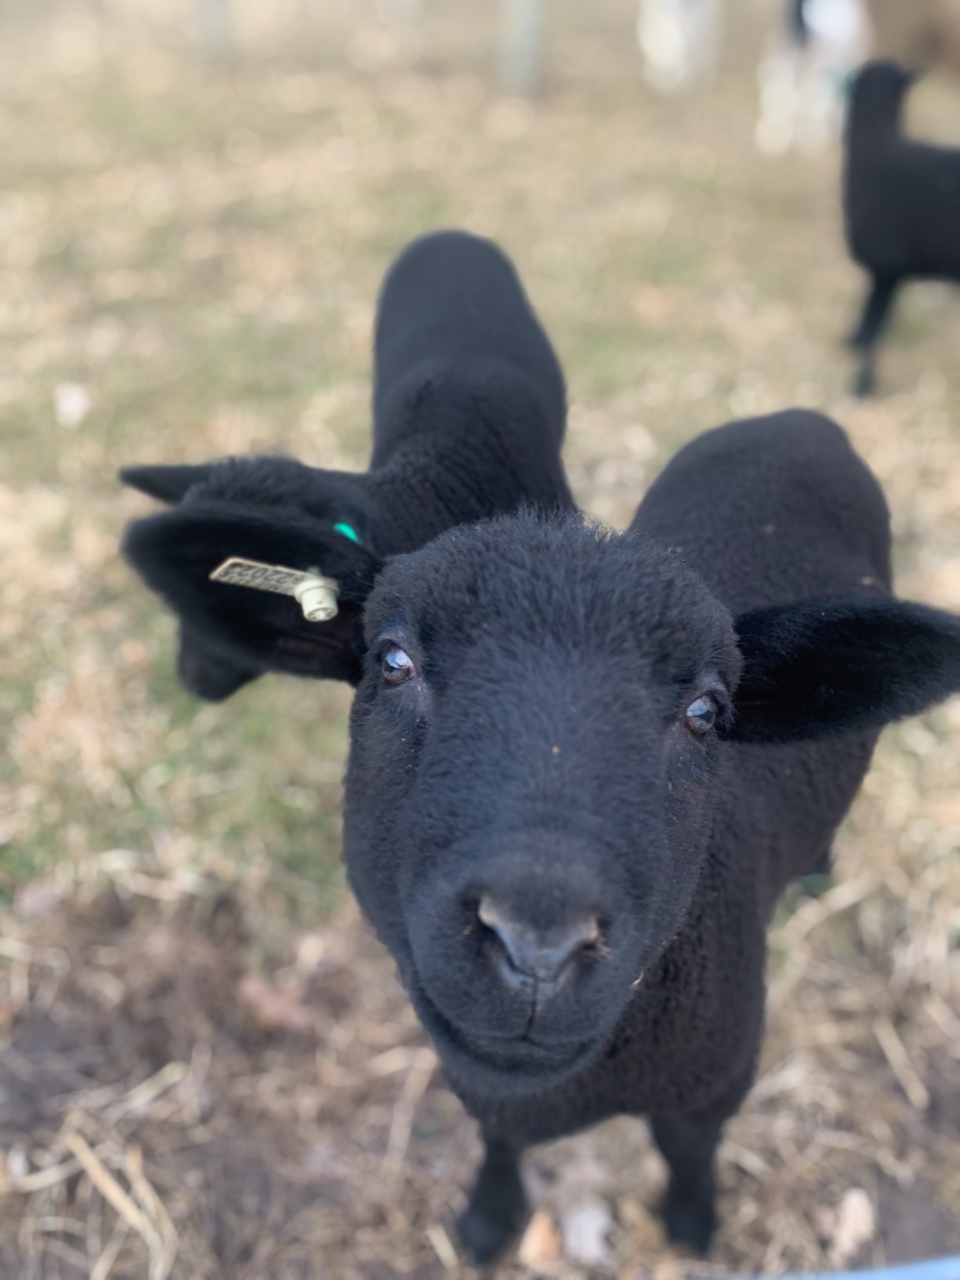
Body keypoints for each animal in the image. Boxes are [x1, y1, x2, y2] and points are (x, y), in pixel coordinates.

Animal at [122, 235, 960, 1264]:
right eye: (391, 662)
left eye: (708, 710)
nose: (536, 946)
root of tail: (801, 418)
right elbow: (497, 1140)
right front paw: (488, 1223)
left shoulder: (716, 1087)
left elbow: (688, 1156)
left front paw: (692, 1229)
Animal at [844, 58, 960, 394]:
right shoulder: (884, 272)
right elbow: (868, 320)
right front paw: (850, 342)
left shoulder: (888, 266)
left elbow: (874, 328)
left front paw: (861, 387)